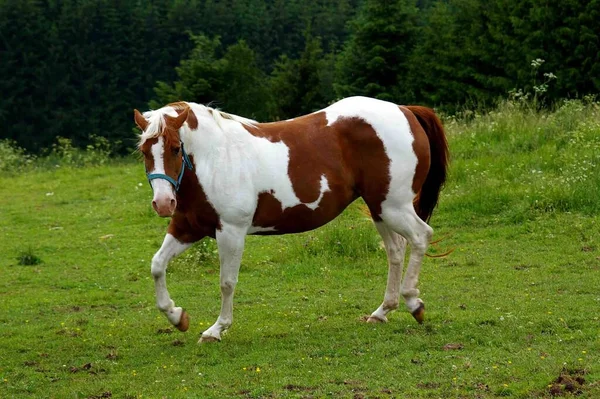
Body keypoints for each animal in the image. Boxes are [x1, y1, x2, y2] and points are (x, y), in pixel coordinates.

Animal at [134, 97, 448, 344]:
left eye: (175, 148)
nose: (163, 203)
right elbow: (157, 266)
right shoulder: (187, 228)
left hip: (393, 206)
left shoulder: (231, 232)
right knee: (395, 250)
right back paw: (382, 312)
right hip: (380, 208)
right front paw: (177, 317)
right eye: (144, 151)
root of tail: (405, 110)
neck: (216, 158)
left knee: (421, 236)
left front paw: (216, 329)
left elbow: (227, 282)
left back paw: (414, 302)